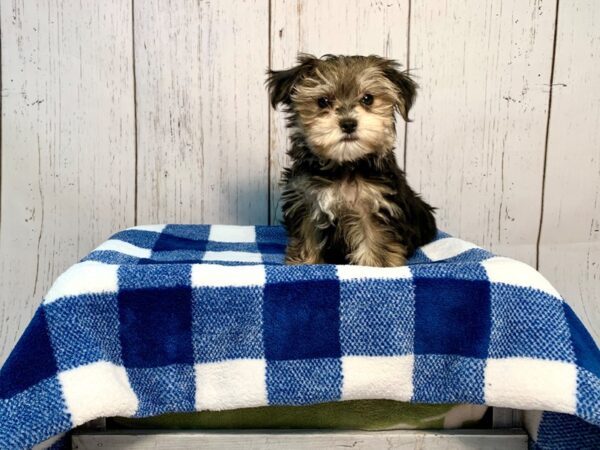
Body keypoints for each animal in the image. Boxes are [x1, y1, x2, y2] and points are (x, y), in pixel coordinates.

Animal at [268, 55, 436, 268]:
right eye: (323, 101)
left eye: (368, 99)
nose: (348, 123)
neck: (344, 166)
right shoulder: (306, 200)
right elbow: (307, 235)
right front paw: (304, 262)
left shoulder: (374, 205)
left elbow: (374, 240)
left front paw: (376, 265)